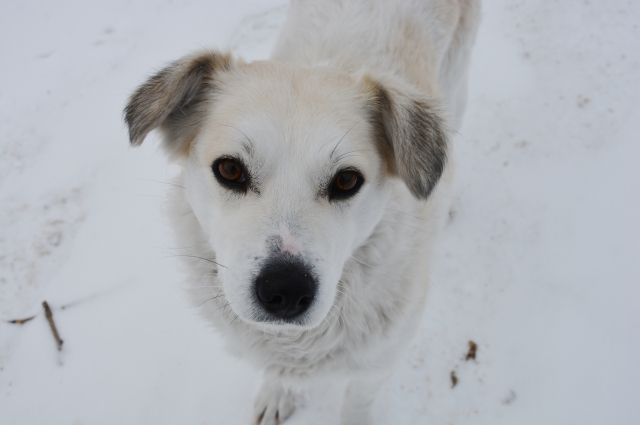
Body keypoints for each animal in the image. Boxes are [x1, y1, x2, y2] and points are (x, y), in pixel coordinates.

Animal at [124, 1, 476, 422]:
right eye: (230, 169)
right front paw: (279, 394)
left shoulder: (376, 367)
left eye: (346, 180)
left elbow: (357, 405)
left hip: (455, 83)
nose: (286, 290)